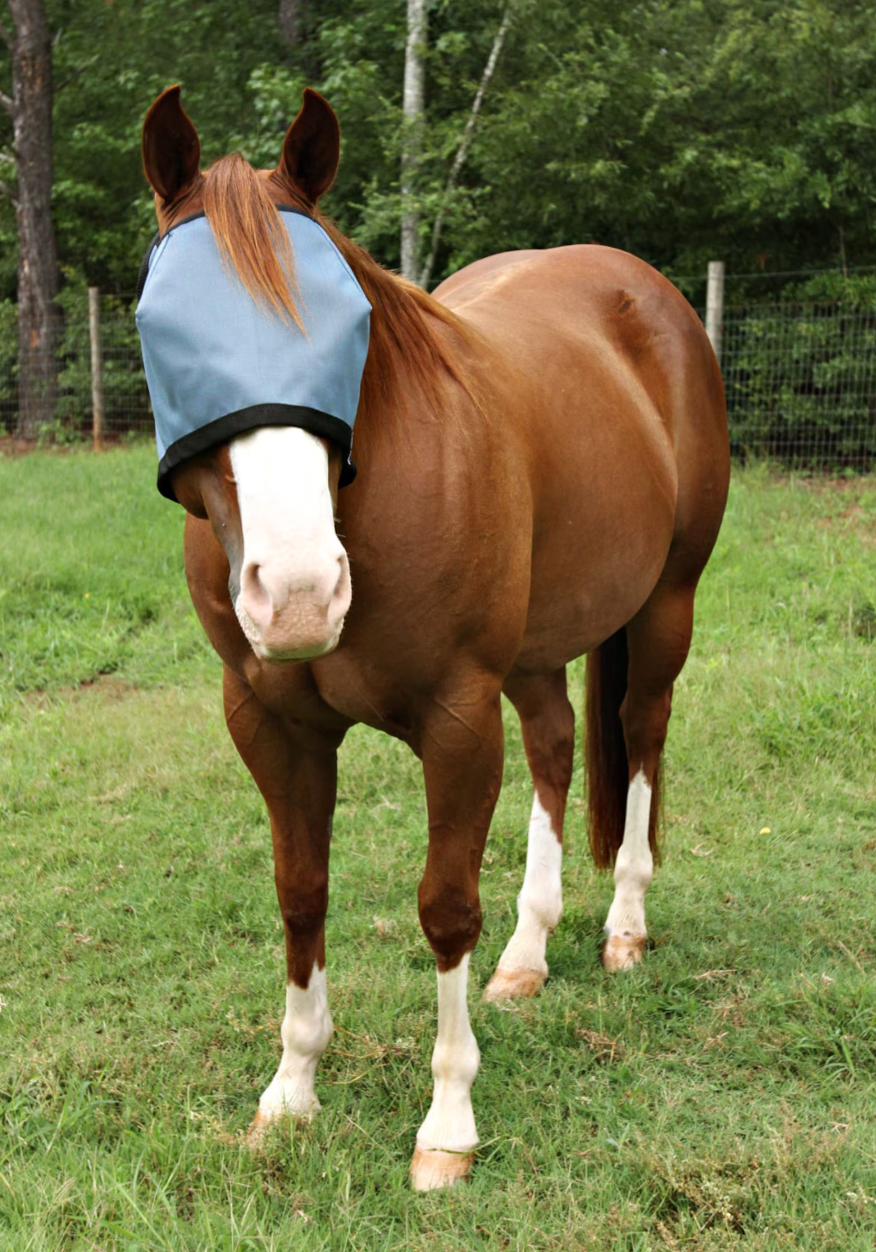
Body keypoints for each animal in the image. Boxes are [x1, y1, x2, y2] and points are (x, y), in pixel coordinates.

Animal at [137, 85, 729, 1190]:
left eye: (346, 327)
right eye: (163, 331)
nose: (298, 593)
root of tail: (645, 293)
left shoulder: (457, 719)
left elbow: (445, 907)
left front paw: (448, 1127)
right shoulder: (271, 725)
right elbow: (300, 892)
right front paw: (291, 1094)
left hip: (666, 604)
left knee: (642, 736)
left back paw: (624, 928)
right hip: (535, 653)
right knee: (556, 746)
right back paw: (528, 956)